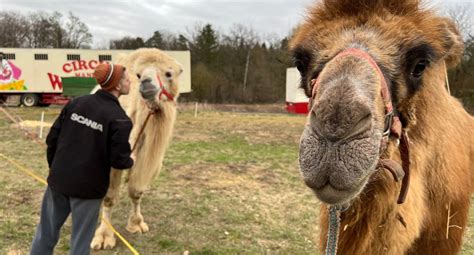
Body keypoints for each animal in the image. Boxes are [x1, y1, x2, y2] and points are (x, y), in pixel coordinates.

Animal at [90, 48, 183, 250]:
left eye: (169, 73)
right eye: (139, 75)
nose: (146, 84)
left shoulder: (146, 157)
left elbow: (136, 190)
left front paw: (137, 224)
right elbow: (109, 197)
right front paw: (104, 236)